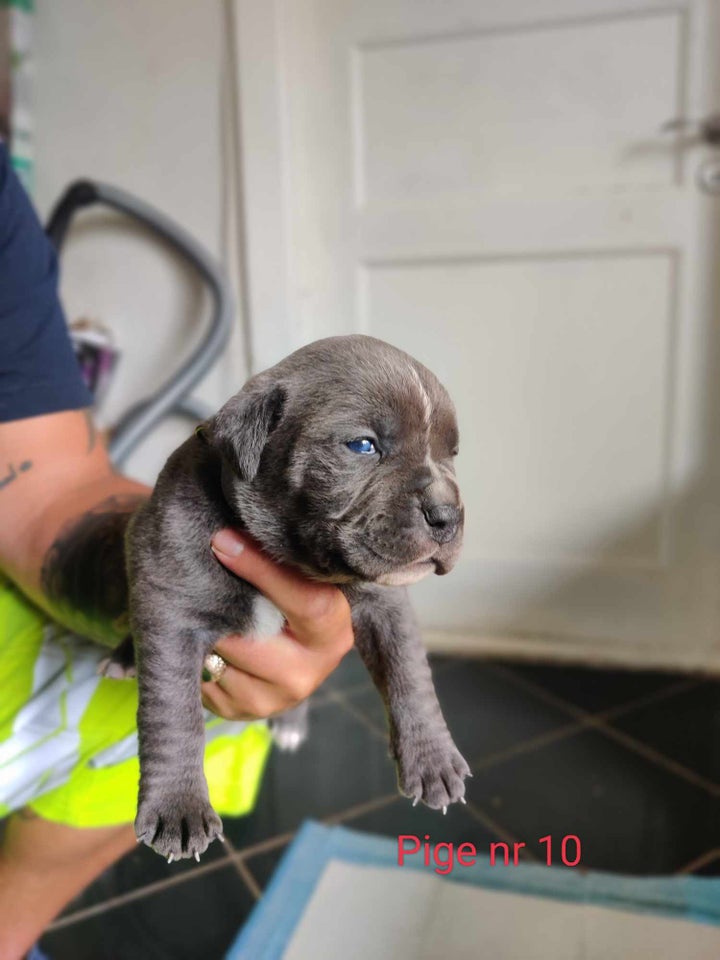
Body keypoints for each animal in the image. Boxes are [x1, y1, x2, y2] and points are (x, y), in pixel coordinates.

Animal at [126, 334, 470, 860]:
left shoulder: (387, 605)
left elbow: (410, 674)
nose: (448, 514)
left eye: (451, 452)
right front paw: (178, 807)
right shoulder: (171, 607)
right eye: (363, 445)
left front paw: (433, 761)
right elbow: (171, 711)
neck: (293, 559)